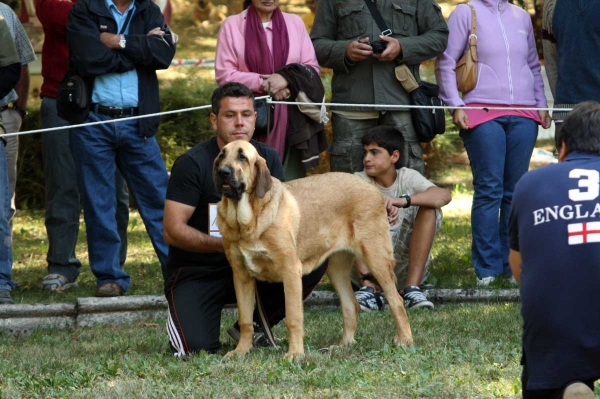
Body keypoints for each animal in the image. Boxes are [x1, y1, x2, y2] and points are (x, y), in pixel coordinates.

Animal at [213, 141, 414, 360]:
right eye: (222, 155)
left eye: (242, 157)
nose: (223, 172)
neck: (246, 222)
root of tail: (374, 190)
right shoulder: (241, 276)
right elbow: (245, 319)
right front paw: (240, 351)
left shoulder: (291, 270)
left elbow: (293, 318)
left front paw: (295, 354)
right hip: (337, 268)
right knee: (351, 305)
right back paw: (344, 345)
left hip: (376, 259)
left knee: (396, 301)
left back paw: (404, 341)